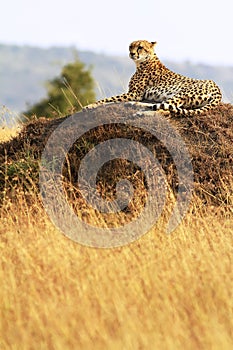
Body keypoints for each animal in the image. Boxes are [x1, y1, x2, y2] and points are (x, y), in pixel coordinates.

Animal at [85, 39, 222, 115]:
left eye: (140, 47)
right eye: (130, 46)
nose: (132, 53)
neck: (144, 61)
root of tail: (216, 87)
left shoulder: (134, 94)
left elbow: (108, 98)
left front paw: (90, 105)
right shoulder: (134, 94)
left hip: (181, 93)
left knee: (166, 108)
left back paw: (141, 110)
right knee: (170, 106)